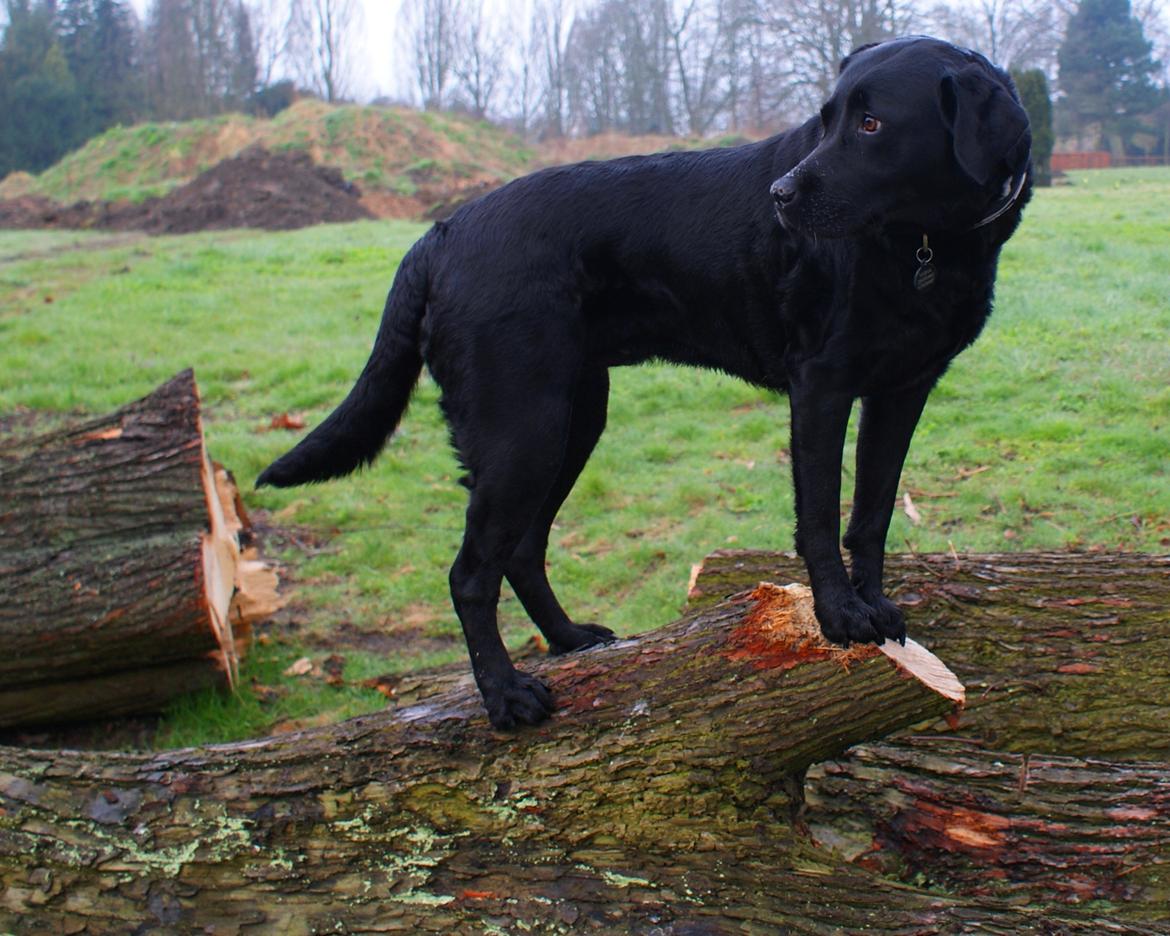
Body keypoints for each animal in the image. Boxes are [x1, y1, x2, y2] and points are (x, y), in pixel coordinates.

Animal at [258, 38, 1034, 730]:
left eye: (872, 124)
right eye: (829, 119)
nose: (780, 195)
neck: (927, 244)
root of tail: (440, 232)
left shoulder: (903, 390)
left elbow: (870, 514)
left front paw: (877, 608)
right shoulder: (820, 386)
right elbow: (818, 515)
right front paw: (840, 615)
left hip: (572, 420)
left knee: (521, 551)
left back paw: (569, 640)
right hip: (524, 430)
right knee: (470, 573)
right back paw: (506, 698)